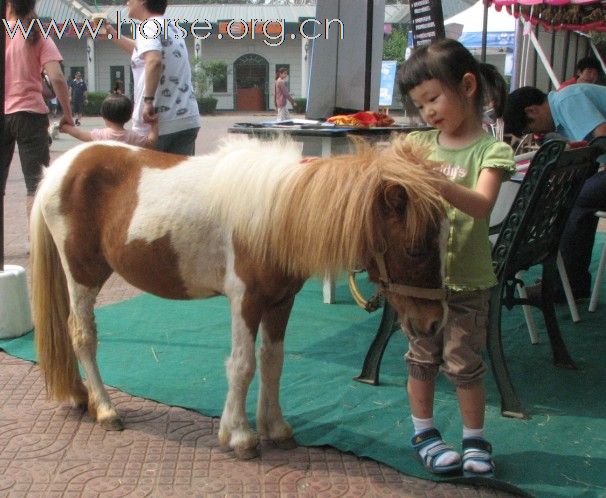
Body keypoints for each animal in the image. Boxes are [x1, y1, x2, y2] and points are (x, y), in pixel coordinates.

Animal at [32, 135, 452, 460]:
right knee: (82, 336)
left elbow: (272, 361)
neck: (279, 212)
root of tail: (59, 168)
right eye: (415, 249)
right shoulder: (245, 301)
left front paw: (275, 427)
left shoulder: (281, 301)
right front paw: (240, 435)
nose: (434, 321)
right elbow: (243, 365)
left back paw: (84, 398)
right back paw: (105, 409)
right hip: (83, 276)